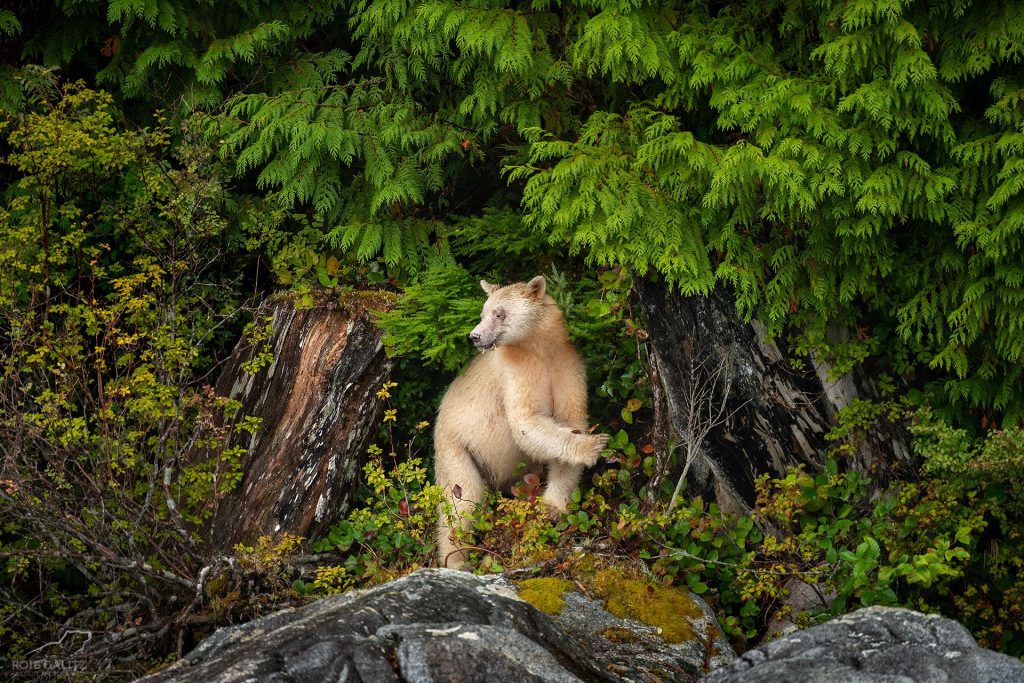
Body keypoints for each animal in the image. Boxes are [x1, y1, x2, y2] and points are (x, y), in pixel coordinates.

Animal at [434, 274, 606, 569]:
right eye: (483, 312)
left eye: (499, 313)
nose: (474, 336)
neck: (539, 347)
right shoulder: (516, 371)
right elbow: (526, 421)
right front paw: (593, 446)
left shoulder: (567, 366)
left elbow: (571, 417)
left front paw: (553, 506)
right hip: (455, 450)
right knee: (463, 499)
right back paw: (456, 561)